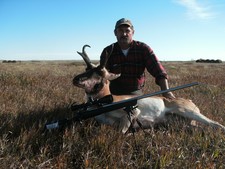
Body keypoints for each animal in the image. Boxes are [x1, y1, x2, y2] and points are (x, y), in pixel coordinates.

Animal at [73, 44, 224, 133]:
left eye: (100, 73)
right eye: (86, 69)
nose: (76, 79)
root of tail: (188, 100)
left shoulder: (132, 113)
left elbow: (120, 132)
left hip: (189, 112)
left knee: (217, 124)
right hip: (183, 123)